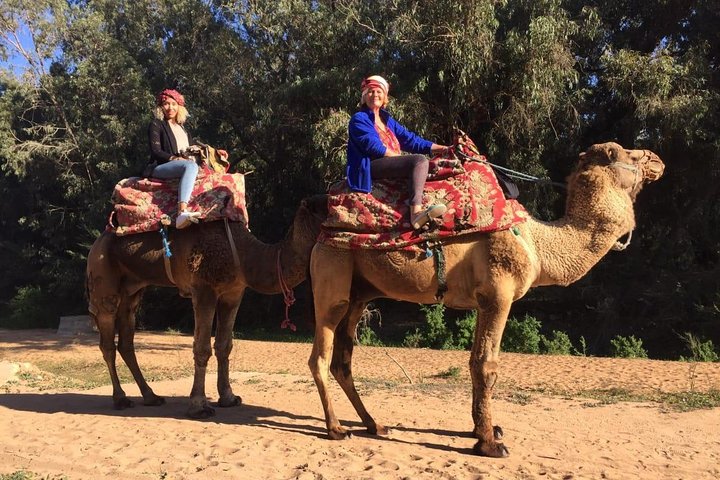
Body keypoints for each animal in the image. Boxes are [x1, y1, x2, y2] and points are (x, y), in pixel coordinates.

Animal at [86, 195, 327, 418]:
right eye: (331, 206)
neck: (244, 255)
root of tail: (96, 243)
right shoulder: (203, 290)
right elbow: (202, 348)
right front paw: (199, 406)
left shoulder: (233, 293)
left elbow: (224, 346)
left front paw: (229, 397)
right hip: (103, 279)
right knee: (107, 339)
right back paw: (120, 399)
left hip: (133, 291)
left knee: (126, 340)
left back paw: (151, 396)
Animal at [308, 143, 664, 456]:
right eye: (621, 153)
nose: (657, 159)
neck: (537, 244)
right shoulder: (499, 294)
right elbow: (486, 365)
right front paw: (490, 445)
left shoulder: (483, 302)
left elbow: (474, 362)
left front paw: (485, 430)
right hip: (332, 277)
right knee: (320, 356)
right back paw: (336, 429)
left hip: (359, 294)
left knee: (343, 359)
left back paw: (374, 424)